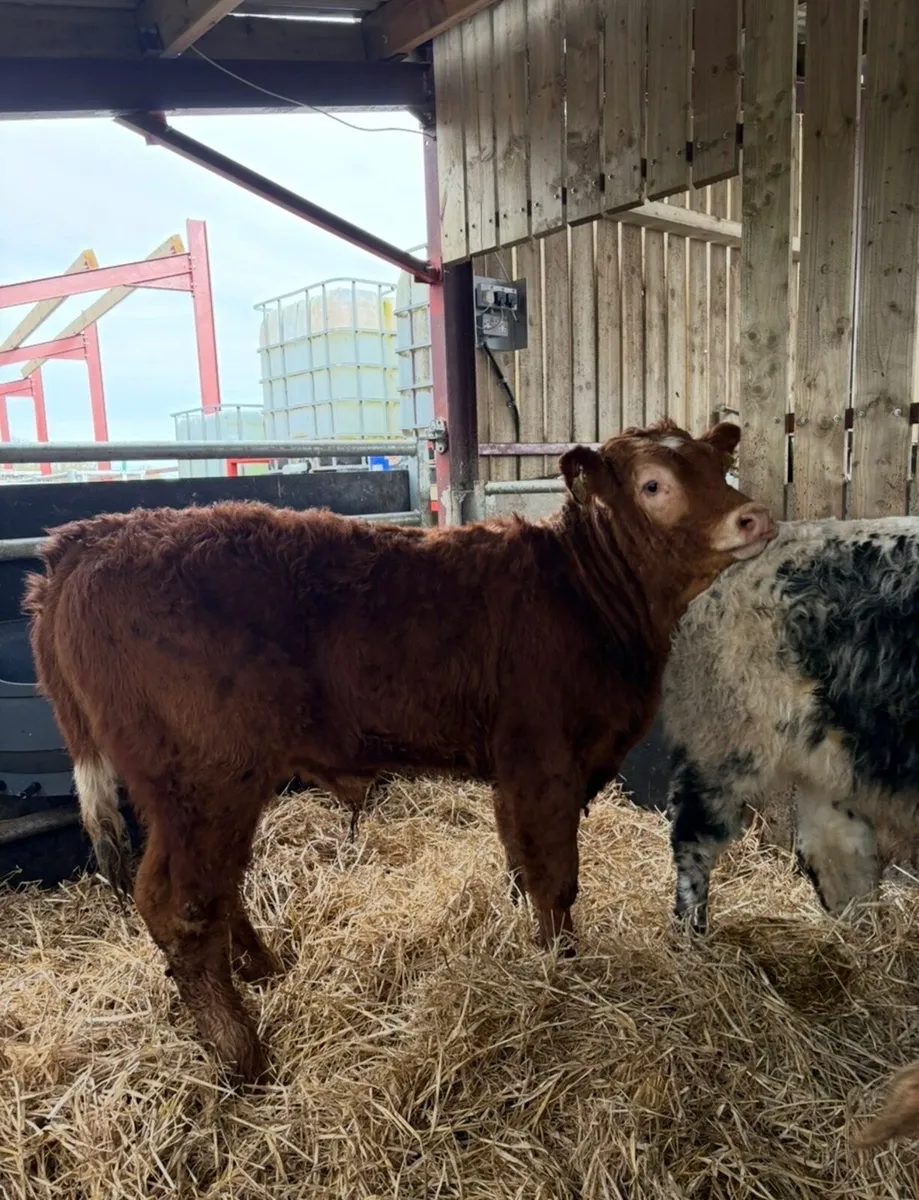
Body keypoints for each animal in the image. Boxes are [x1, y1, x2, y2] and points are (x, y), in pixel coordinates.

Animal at [24, 418, 774, 1083]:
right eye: (653, 484)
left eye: (720, 466)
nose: (754, 517)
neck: (584, 597)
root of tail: (88, 539)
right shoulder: (545, 761)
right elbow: (556, 878)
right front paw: (564, 967)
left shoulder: (513, 771)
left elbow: (518, 860)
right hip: (204, 780)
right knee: (178, 905)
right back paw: (244, 1056)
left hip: (205, 791)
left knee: (218, 886)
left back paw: (264, 971)